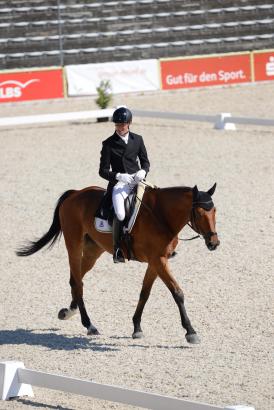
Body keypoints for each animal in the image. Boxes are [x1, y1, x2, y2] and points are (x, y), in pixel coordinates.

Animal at [16, 183, 219, 342]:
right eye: (199, 213)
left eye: (215, 211)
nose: (214, 243)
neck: (161, 215)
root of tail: (75, 193)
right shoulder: (158, 260)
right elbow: (177, 292)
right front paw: (191, 332)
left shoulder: (156, 261)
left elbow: (144, 293)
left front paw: (137, 328)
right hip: (73, 244)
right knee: (76, 281)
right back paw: (89, 324)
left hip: (93, 251)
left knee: (77, 278)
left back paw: (69, 311)